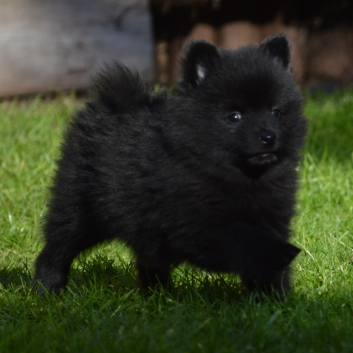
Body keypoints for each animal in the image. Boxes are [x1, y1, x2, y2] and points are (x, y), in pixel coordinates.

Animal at [35, 34, 306, 296]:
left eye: (276, 112)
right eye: (234, 117)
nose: (268, 137)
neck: (243, 177)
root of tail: (109, 104)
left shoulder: (273, 216)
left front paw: (274, 299)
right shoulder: (193, 224)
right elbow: (241, 238)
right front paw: (277, 255)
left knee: (149, 259)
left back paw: (156, 294)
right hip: (80, 205)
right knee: (59, 246)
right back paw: (47, 287)